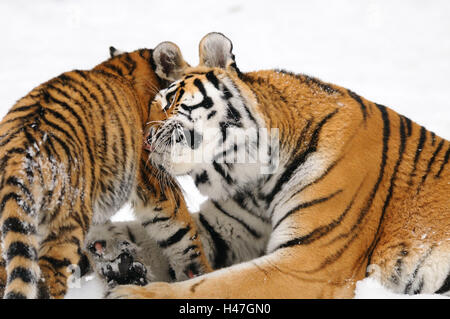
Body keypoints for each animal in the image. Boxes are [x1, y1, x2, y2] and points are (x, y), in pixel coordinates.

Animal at [0, 43, 212, 298]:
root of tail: (18, 154)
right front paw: (201, 274)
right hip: (66, 224)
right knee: (47, 273)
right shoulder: (157, 183)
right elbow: (184, 235)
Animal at [108, 31, 450, 298]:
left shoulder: (308, 262)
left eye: (169, 100)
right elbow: (143, 235)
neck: (258, 181)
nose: (143, 140)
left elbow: (215, 285)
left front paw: (131, 294)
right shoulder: (224, 230)